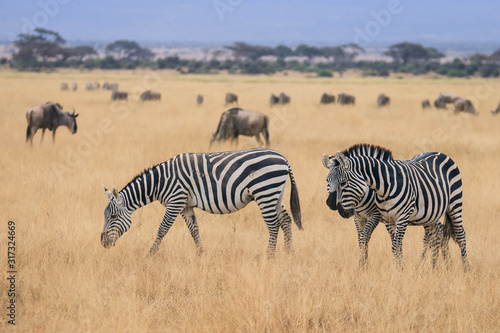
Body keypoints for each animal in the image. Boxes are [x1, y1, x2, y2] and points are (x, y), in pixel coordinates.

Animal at [99, 148, 298, 256]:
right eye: (105, 215)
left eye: (114, 216)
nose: (103, 243)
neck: (160, 182)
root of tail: (283, 158)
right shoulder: (185, 205)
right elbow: (194, 230)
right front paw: (202, 254)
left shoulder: (176, 200)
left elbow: (162, 229)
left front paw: (150, 255)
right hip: (276, 194)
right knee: (286, 220)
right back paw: (289, 254)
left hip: (265, 192)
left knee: (273, 225)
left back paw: (269, 257)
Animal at [324, 143, 468, 270]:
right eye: (327, 181)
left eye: (343, 182)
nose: (331, 204)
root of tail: (440, 153)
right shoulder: (362, 217)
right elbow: (364, 240)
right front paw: (364, 265)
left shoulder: (382, 215)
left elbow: (370, 238)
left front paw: (368, 266)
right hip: (431, 212)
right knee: (436, 233)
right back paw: (437, 265)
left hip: (455, 204)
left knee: (459, 234)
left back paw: (464, 268)